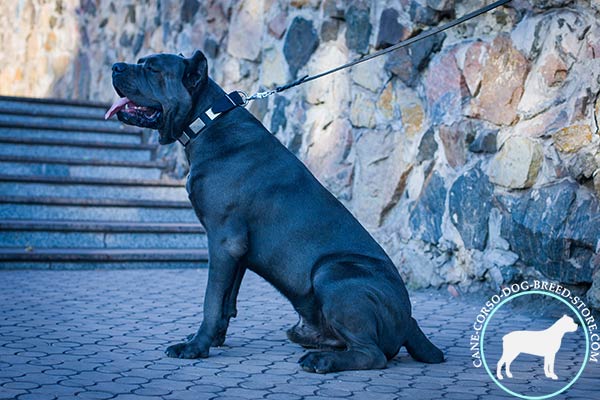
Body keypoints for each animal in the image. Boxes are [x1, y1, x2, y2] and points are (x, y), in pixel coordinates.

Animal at [108, 50, 442, 376]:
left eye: (152, 69)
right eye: (141, 62)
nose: (116, 66)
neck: (208, 121)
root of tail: (409, 320)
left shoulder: (223, 240)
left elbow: (211, 299)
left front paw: (195, 347)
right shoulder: (238, 251)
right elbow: (227, 300)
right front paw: (212, 339)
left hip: (332, 273)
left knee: (372, 354)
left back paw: (322, 361)